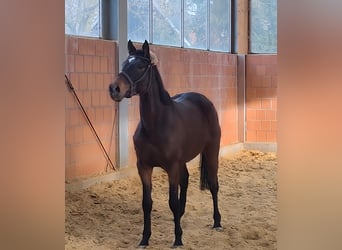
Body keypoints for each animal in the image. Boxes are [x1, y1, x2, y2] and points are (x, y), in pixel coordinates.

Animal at [108, 40, 223, 247]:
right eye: (124, 64)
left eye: (140, 66)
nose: (115, 89)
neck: (156, 124)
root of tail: (204, 100)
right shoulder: (144, 167)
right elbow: (147, 203)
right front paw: (144, 239)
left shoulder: (171, 167)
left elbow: (172, 201)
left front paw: (178, 239)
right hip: (183, 161)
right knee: (186, 181)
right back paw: (181, 216)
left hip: (212, 152)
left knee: (213, 184)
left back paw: (217, 222)